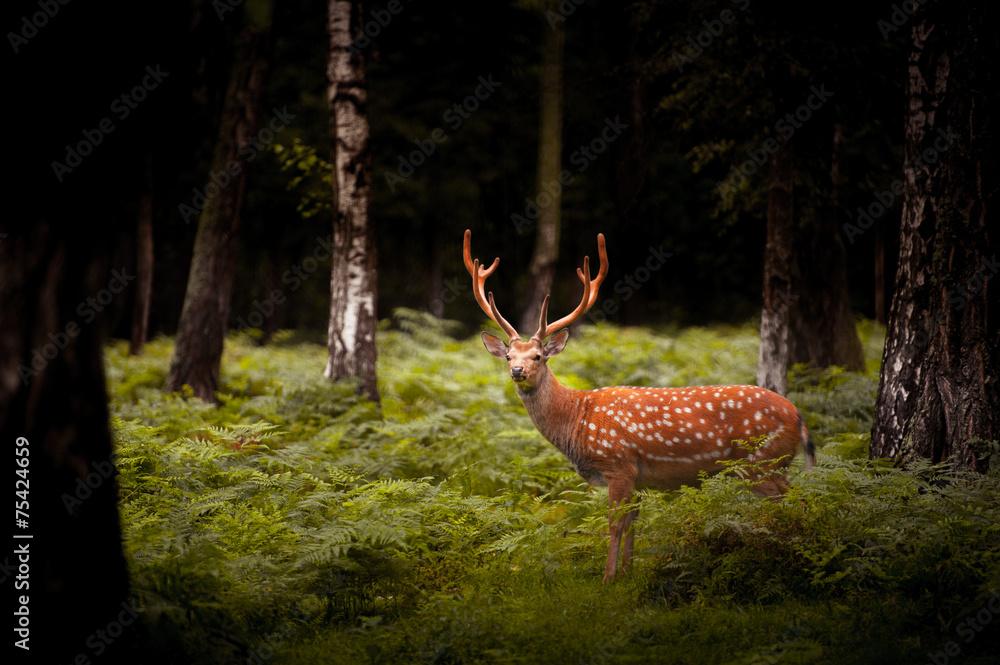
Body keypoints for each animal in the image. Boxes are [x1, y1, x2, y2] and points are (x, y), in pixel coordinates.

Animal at [463, 229, 815, 583]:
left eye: (537, 356)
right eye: (509, 356)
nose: (517, 371)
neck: (577, 419)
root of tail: (799, 418)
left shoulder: (618, 464)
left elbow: (615, 523)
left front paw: (607, 578)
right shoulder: (636, 477)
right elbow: (633, 522)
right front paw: (627, 574)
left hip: (762, 459)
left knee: (797, 500)